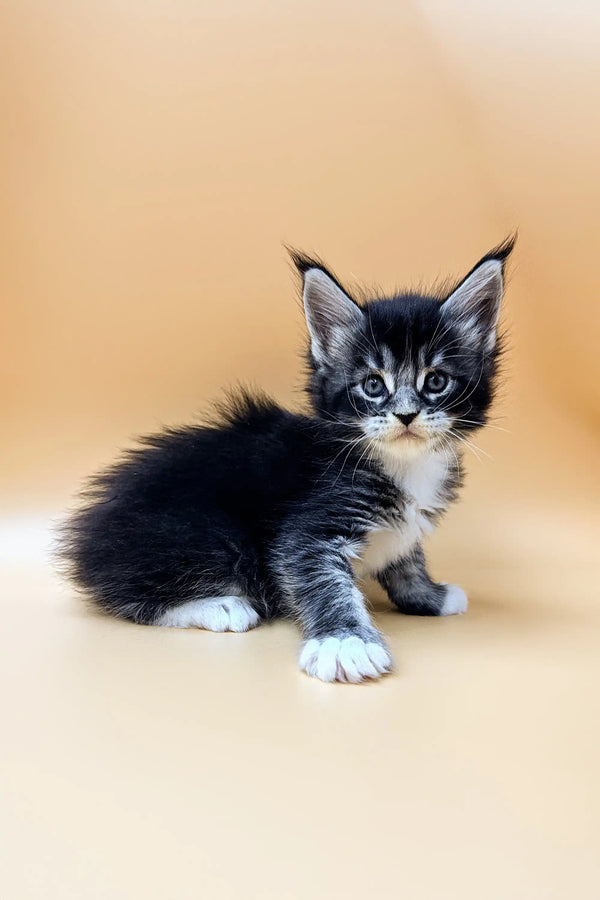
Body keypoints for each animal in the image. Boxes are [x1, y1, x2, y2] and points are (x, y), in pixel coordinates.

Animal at [59, 239, 510, 684]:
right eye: (372, 385)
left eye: (436, 381)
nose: (406, 415)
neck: (402, 464)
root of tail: (89, 535)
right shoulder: (310, 526)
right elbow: (320, 577)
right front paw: (344, 642)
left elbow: (407, 559)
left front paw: (428, 595)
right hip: (212, 537)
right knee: (128, 596)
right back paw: (221, 605)